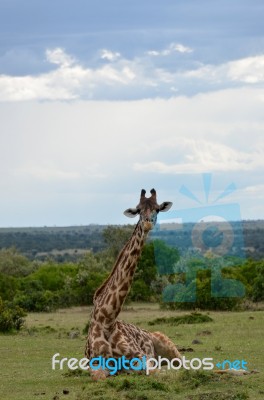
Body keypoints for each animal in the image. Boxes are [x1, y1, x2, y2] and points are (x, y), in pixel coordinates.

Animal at [85, 189, 182, 380]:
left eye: (157, 209)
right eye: (138, 210)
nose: (147, 224)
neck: (107, 318)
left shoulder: (142, 358)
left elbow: (154, 371)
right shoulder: (96, 364)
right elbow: (99, 376)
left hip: (167, 344)